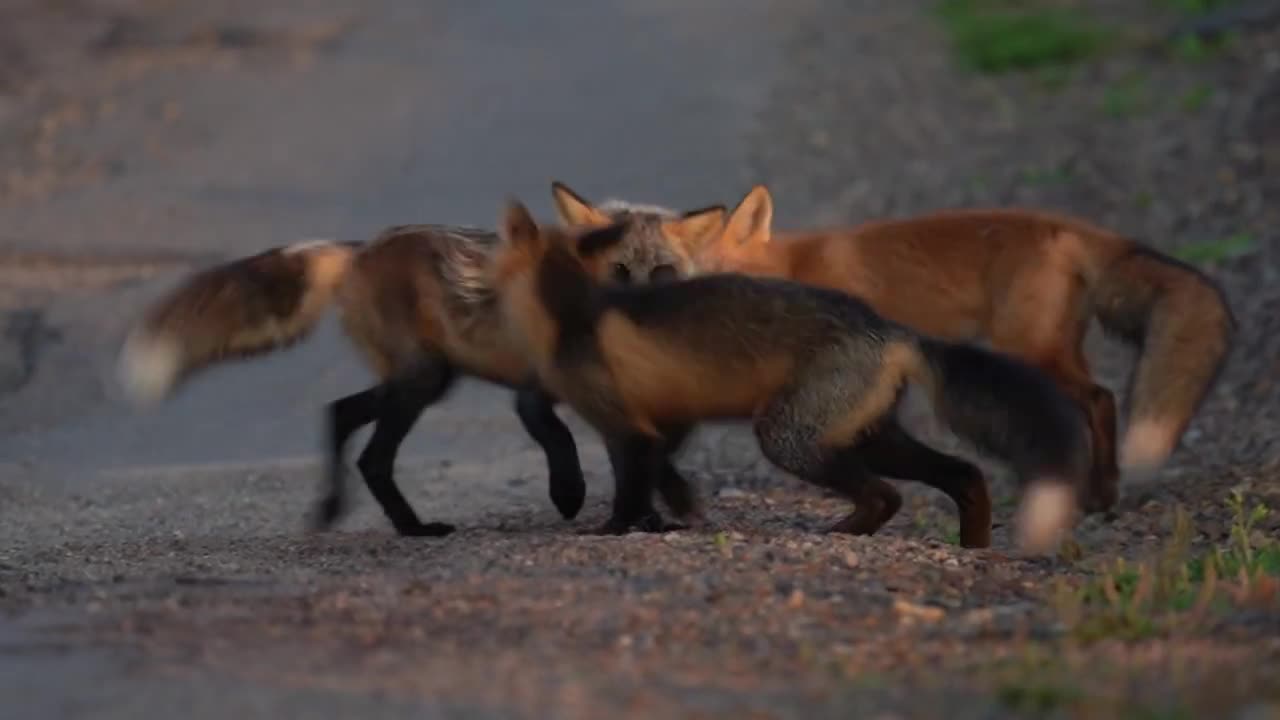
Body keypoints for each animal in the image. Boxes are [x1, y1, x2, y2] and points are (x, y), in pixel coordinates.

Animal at [115, 204, 727, 535]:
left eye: (663, 272)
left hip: (423, 379)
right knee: (372, 456)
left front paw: (651, 517)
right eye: (620, 270)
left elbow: (642, 463)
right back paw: (413, 529)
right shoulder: (535, 397)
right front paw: (572, 497)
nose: (644, 311)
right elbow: (566, 444)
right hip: (421, 381)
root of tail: (361, 249)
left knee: (338, 414)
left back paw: (340, 507)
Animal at [488, 198, 1090, 550]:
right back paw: (972, 546)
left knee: (886, 495)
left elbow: (632, 487)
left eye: (661, 271)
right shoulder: (652, 417)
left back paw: (846, 533)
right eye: (618, 269)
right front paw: (658, 512)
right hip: (867, 436)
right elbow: (633, 465)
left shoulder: (632, 425)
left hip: (789, 437)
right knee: (962, 474)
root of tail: (889, 327)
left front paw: (619, 528)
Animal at [552, 181, 1239, 512]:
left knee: (1099, 399)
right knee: (1096, 398)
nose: (655, 316)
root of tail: (1074, 227)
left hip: (1031, 347)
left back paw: (1102, 493)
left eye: (673, 271)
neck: (792, 265)